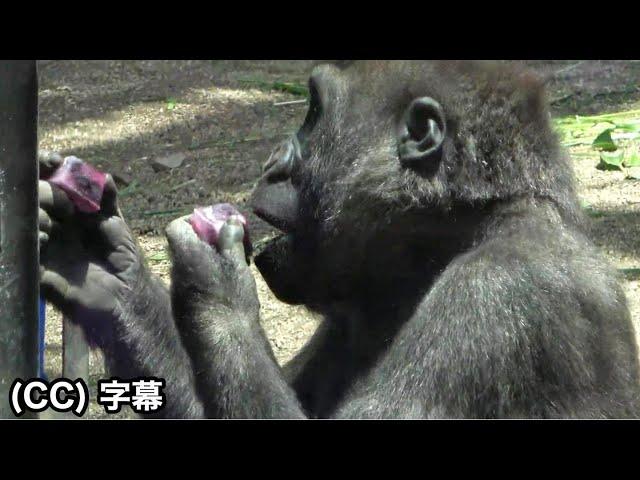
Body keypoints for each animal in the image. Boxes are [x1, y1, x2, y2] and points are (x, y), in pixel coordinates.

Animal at [38, 60, 640, 418]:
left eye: (311, 116)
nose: (273, 160)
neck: (457, 231)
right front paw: (109, 270)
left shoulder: (498, 293)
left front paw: (218, 286)